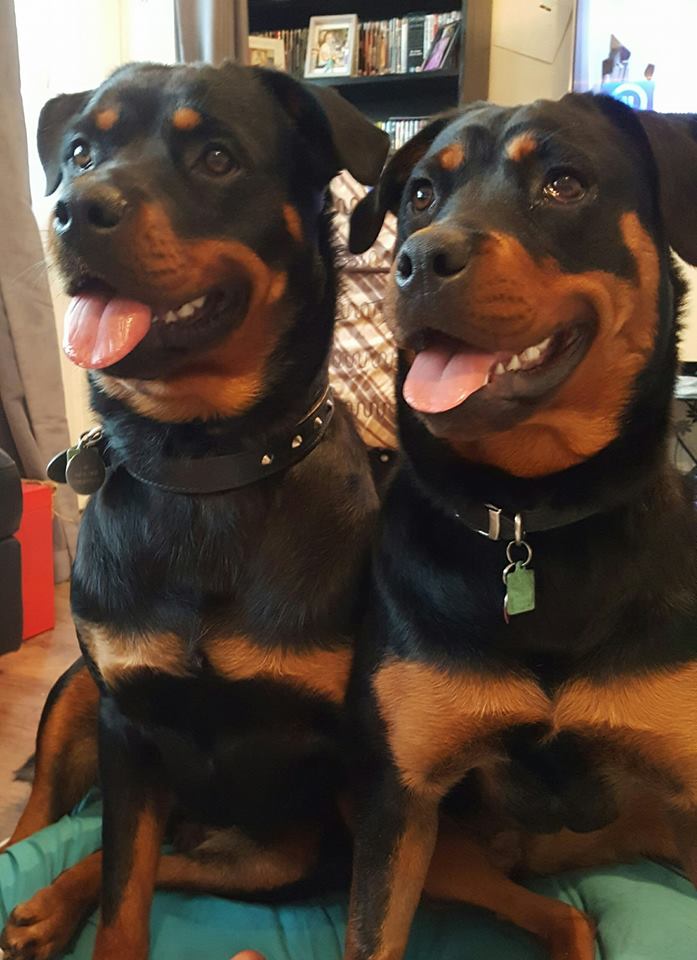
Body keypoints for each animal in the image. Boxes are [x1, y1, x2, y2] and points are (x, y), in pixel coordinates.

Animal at [0, 63, 388, 956]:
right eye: (80, 152)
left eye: (216, 158)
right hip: (74, 691)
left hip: (274, 855)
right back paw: (33, 898)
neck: (201, 466)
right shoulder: (126, 720)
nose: (76, 207)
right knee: (44, 817)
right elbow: (123, 888)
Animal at [346, 92, 697, 960]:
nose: (418, 260)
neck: (525, 515)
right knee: (564, 913)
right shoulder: (398, 803)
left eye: (563, 183)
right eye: (419, 196)